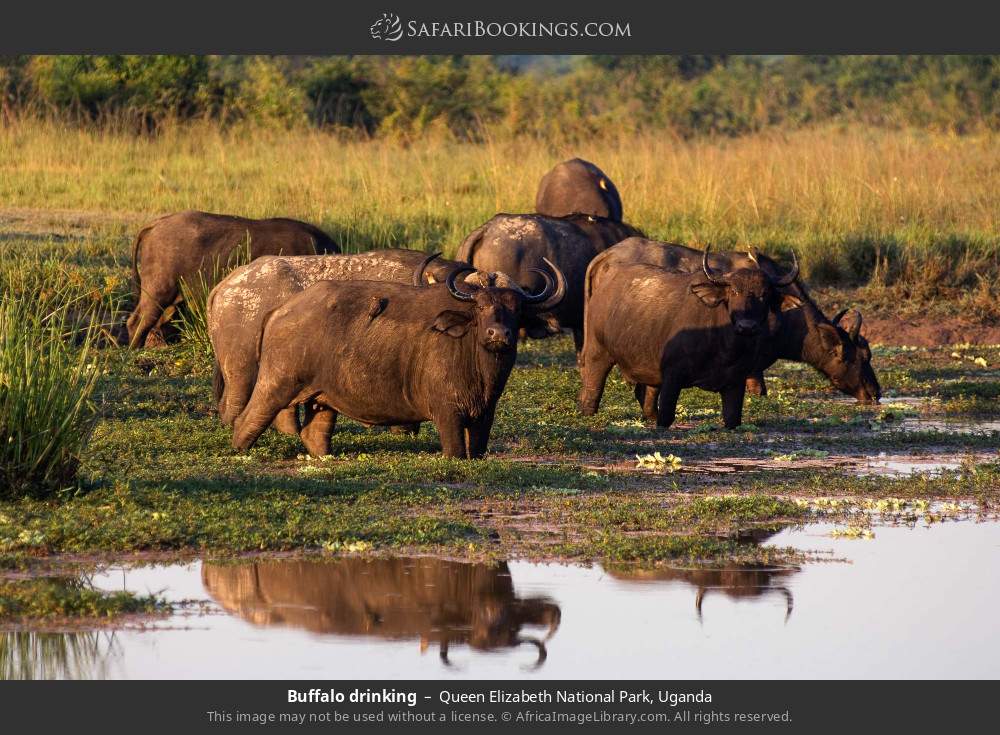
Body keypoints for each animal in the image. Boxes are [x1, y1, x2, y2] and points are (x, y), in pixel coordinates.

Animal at [231, 259, 566, 458]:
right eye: (481, 307)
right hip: (276, 384)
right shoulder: (447, 414)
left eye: (516, 309)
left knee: (314, 434)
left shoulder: (485, 415)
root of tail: (279, 311)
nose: (498, 334)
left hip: (322, 399)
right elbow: (456, 452)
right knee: (246, 421)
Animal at [579, 249, 802, 429]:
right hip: (597, 352)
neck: (723, 347)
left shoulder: (736, 382)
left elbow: (732, 419)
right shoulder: (673, 375)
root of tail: (605, 282)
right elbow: (666, 416)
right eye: (734, 291)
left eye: (764, 294)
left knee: (647, 397)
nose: (746, 326)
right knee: (593, 388)